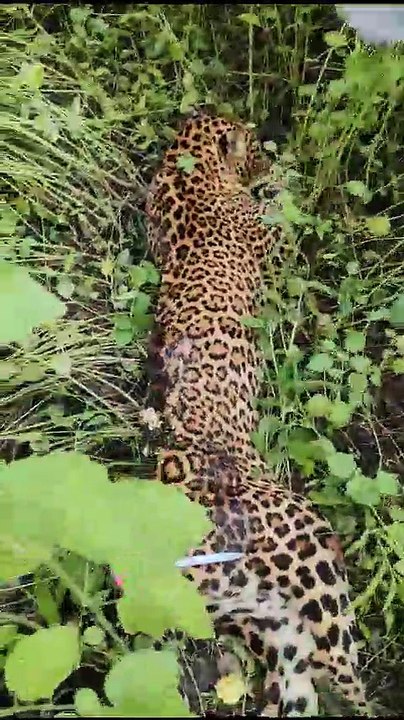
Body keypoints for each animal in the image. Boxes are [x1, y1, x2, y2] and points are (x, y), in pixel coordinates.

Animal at [144, 108, 370, 717]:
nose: (265, 149)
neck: (188, 167)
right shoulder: (266, 235)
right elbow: (284, 212)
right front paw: (288, 174)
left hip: (271, 623)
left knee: (299, 689)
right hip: (313, 560)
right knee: (347, 675)